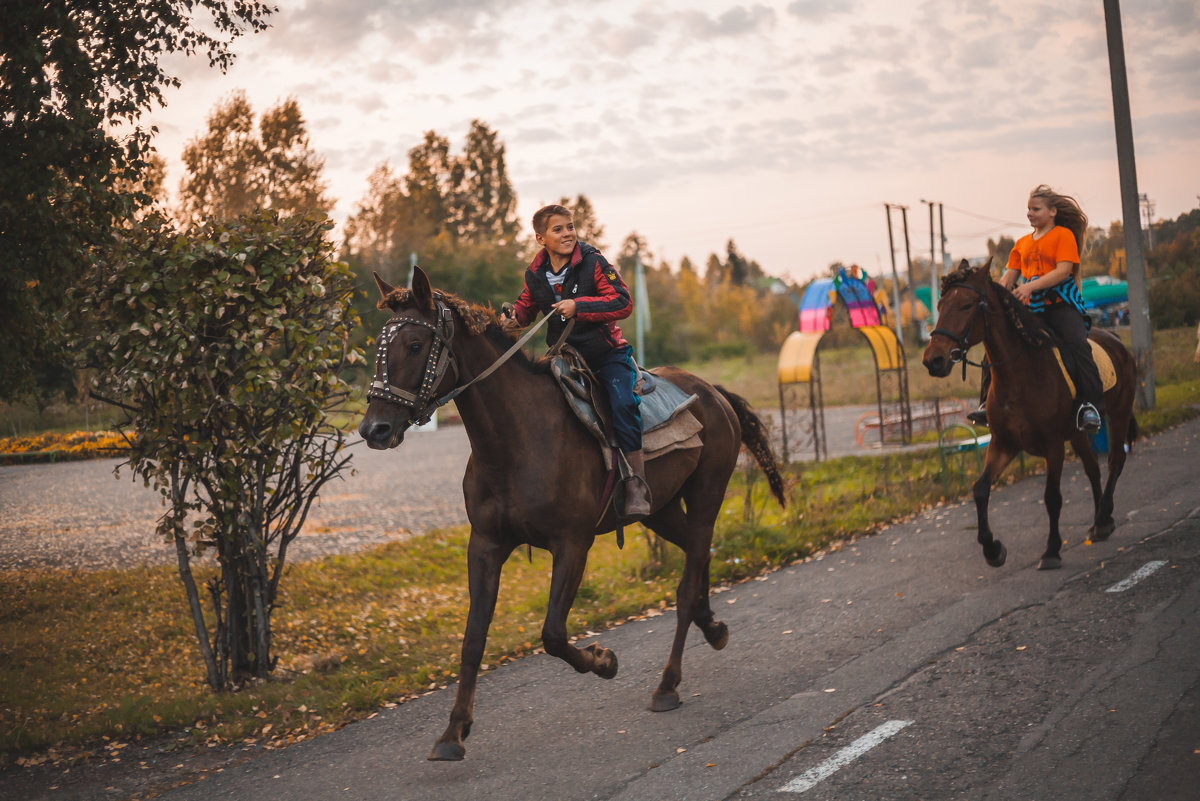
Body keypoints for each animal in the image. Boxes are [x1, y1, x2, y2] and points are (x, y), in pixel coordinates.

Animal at [355, 266, 787, 762]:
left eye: (414, 345)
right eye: (379, 345)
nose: (374, 429)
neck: (517, 439)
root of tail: (712, 392)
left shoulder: (572, 545)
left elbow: (553, 634)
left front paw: (605, 660)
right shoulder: (484, 545)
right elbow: (473, 638)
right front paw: (452, 732)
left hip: (706, 496)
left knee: (685, 583)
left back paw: (668, 684)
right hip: (658, 511)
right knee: (700, 559)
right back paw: (712, 626)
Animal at [921, 261, 1137, 568]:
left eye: (966, 305)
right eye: (940, 305)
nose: (933, 360)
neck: (1020, 373)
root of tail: (1115, 339)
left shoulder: (1053, 445)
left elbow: (1052, 497)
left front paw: (1051, 550)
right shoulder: (1004, 443)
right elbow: (980, 489)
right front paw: (993, 549)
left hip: (1119, 413)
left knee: (1115, 461)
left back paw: (1105, 514)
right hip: (1078, 433)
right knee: (1093, 468)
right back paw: (1099, 524)